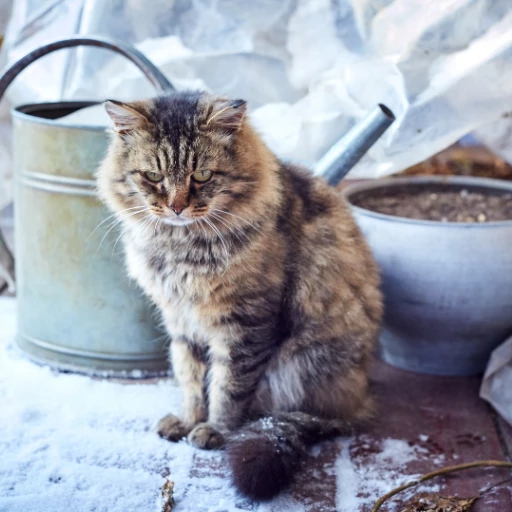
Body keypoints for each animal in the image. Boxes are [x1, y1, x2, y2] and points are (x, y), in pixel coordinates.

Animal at [98, 92, 382, 500]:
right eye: (152, 176)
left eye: (202, 175)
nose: (176, 207)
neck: (180, 248)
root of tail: (361, 399)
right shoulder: (181, 323)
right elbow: (190, 380)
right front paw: (186, 421)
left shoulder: (245, 323)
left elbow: (228, 387)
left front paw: (214, 431)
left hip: (303, 366)